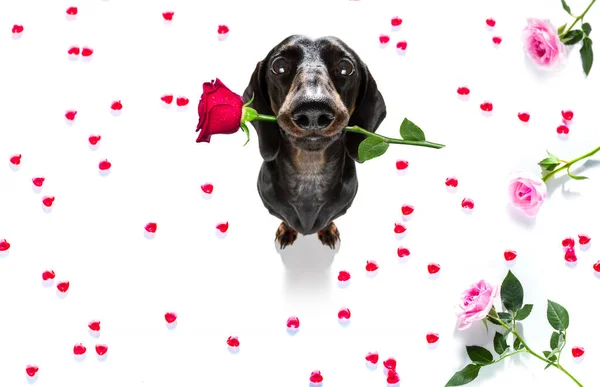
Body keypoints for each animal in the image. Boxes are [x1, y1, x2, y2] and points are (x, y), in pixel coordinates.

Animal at [245, 34, 390, 250]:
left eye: (345, 67)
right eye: (279, 65)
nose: (312, 112)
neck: (310, 174)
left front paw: (328, 230)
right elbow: (286, 220)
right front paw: (286, 230)